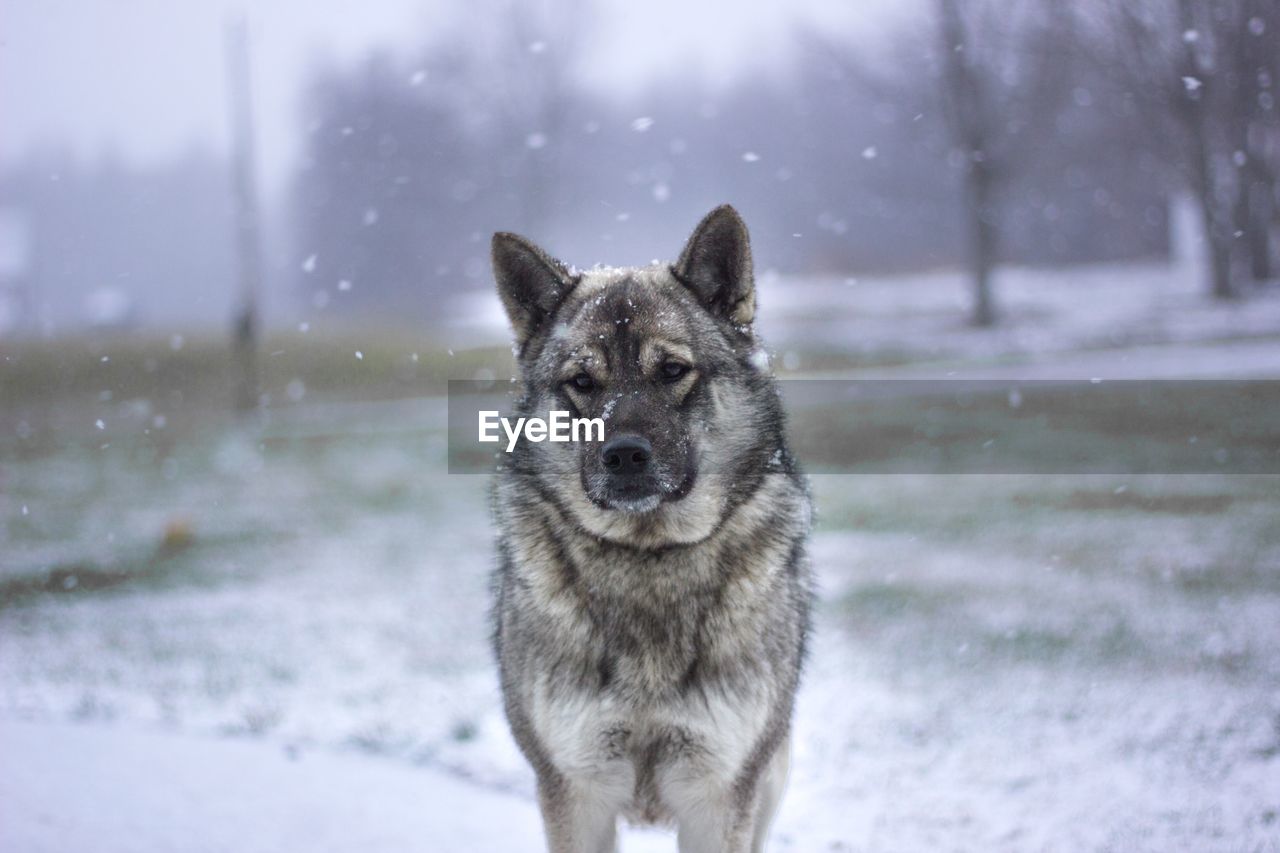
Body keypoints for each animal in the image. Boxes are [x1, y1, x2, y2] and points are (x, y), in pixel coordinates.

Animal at [488, 206, 808, 850]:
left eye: (672, 371)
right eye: (583, 383)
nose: (625, 456)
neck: (649, 556)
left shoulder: (719, 794)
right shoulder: (575, 791)